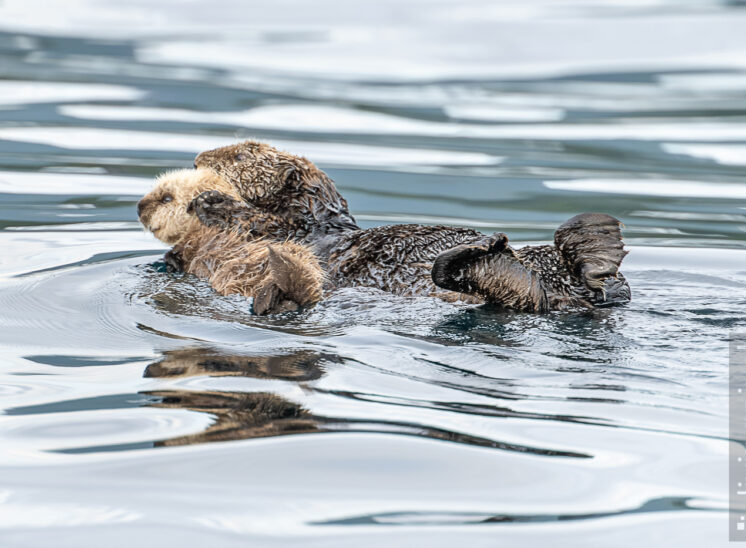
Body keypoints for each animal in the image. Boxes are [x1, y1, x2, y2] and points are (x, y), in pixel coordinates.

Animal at [186, 142, 628, 312]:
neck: (323, 216)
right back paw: (597, 245)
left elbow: (259, 222)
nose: (197, 158)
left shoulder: (296, 227)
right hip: (558, 275)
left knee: (522, 293)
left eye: (242, 154)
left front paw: (206, 201)